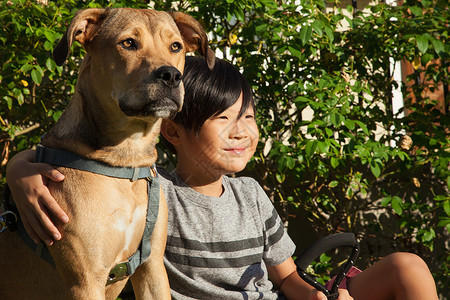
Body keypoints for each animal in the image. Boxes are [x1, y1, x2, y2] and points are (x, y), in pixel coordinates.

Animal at [0, 7, 214, 300]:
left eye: (175, 46)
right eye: (128, 43)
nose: (171, 75)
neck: (126, 162)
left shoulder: (152, 266)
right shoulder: (86, 279)